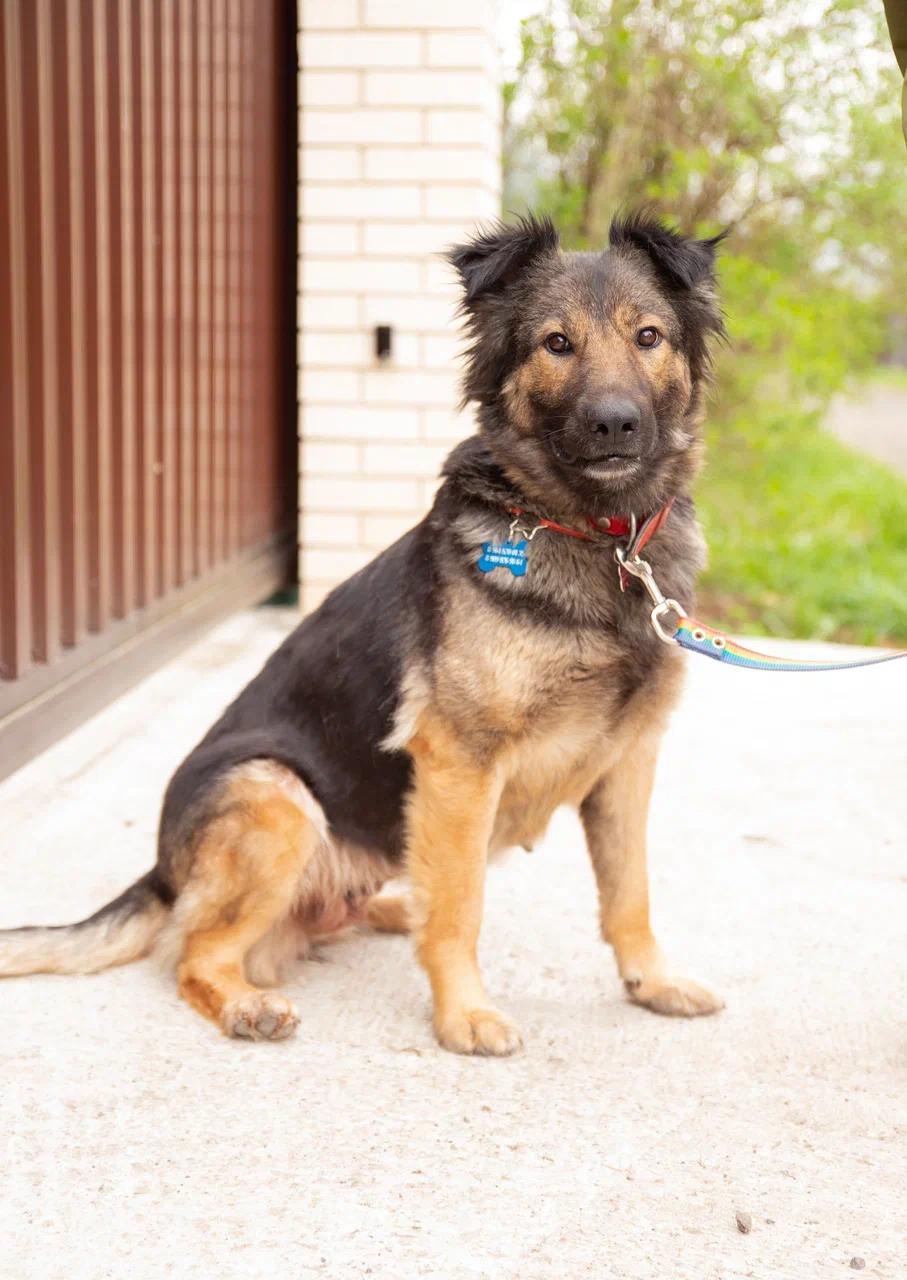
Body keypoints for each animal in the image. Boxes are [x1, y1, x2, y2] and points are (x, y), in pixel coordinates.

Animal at [0, 212, 726, 1049]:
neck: (598, 541)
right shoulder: (460, 762)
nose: (614, 421)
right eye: (555, 343)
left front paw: (651, 981)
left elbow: (629, 890)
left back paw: (388, 907)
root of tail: (161, 870)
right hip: (275, 797)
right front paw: (464, 1012)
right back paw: (248, 1003)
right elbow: (462, 908)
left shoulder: (628, 760)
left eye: (648, 336)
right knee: (194, 952)